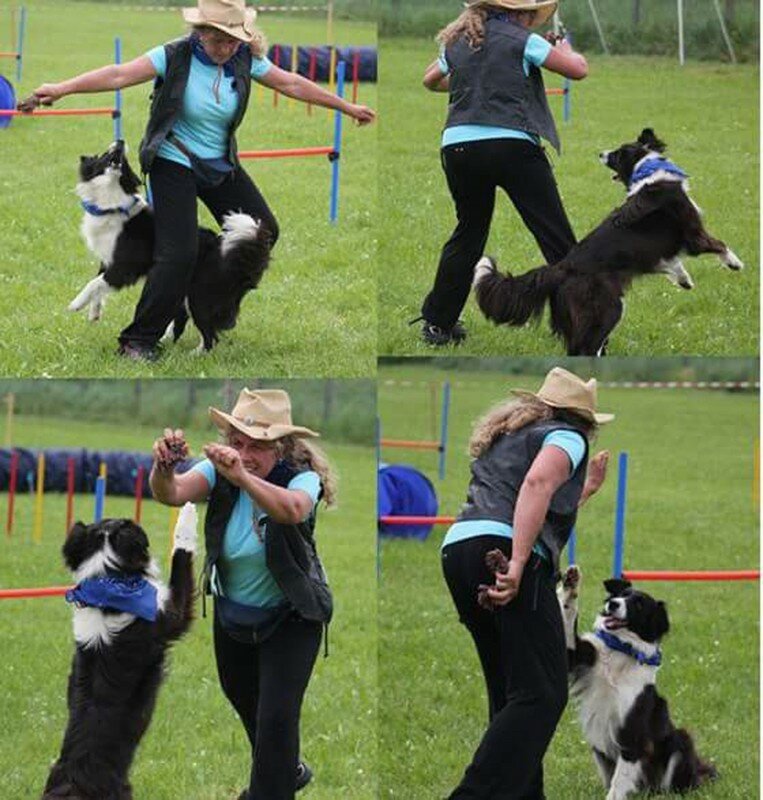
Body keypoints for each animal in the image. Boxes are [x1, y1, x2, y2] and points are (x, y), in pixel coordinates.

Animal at [68, 140, 272, 352]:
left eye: (124, 160)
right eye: (103, 154)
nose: (121, 142)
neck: (113, 202)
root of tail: (226, 252)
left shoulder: (125, 265)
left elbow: (95, 283)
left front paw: (76, 303)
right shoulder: (108, 259)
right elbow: (99, 283)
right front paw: (94, 312)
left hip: (198, 293)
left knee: (210, 335)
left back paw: (195, 353)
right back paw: (167, 339)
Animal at [473, 128, 743, 355]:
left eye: (616, 154)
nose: (600, 153)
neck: (649, 170)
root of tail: (562, 267)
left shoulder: (652, 254)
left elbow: (669, 263)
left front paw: (683, 279)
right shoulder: (693, 234)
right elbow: (719, 243)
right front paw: (735, 263)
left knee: (575, 348)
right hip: (606, 308)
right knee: (587, 346)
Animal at [558, 566, 717, 799]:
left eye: (640, 604)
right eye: (621, 595)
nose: (613, 604)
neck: (622, 652)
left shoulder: (632, 730)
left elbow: (619, 781)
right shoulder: (576, 658)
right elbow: (568, 617)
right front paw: (570, 583)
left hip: (681, 739)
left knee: (671, 785)